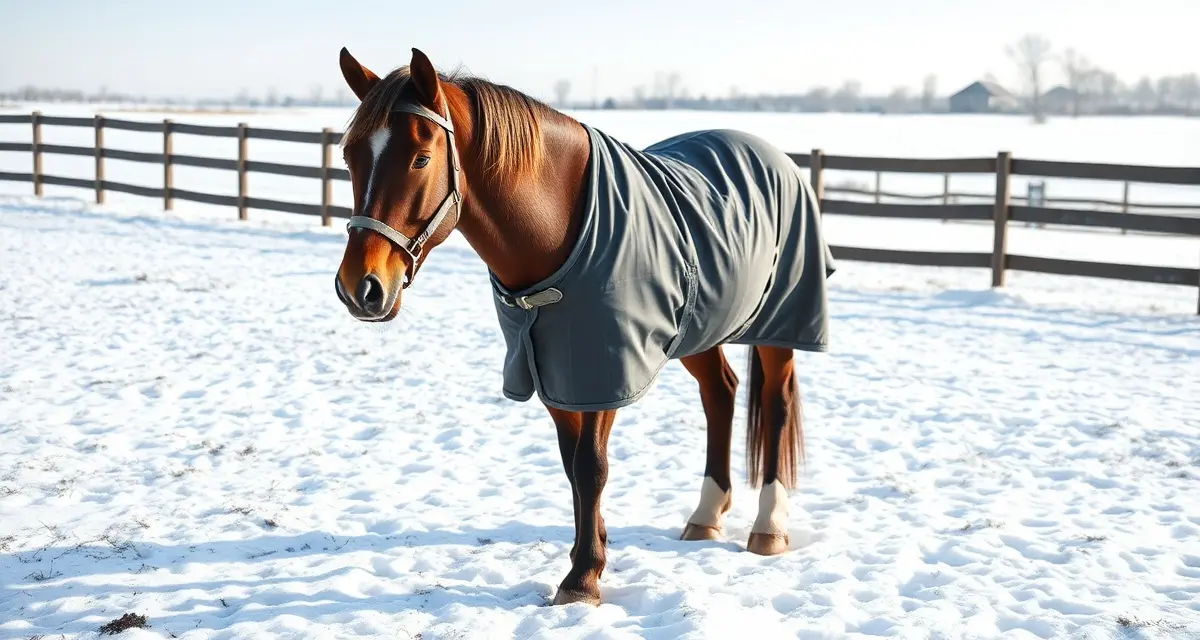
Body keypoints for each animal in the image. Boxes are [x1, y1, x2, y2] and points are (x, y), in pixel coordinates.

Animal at [332, 46, 835, 606]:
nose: (360, 287)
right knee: (720, 393)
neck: (559, 226)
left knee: (776, 403)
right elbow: (571, 466)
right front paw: (587, 551)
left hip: (780, 324)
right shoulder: (551, 370)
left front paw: (582, 578)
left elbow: (592, 467)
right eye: (350, 156)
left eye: (421, 158)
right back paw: (706, 514)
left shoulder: (604, 371)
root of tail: (776, 156)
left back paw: (769, 525)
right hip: (700, 326)